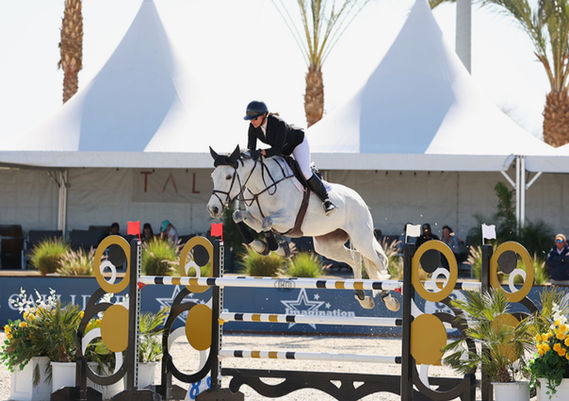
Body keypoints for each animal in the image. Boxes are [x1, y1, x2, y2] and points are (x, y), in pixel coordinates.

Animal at [207, 145, 399, 312]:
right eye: (213, 176)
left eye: (229, 177)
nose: (213, 209)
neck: (261, 187)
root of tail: (359, 199)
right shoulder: (253, 217)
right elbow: (238, 216)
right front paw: (263, 247)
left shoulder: (288, 221)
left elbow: (266, 222)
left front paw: (278, 248)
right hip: (327, 245)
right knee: (356, 259)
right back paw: (362, 297)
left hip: (361, 238)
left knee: (377, 262)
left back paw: (389, 300)